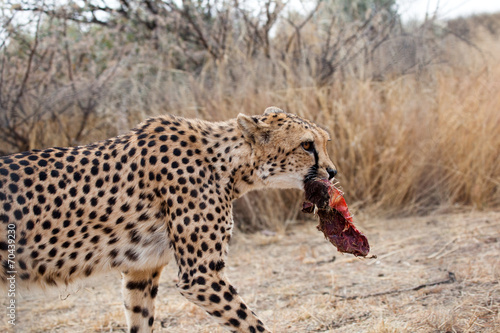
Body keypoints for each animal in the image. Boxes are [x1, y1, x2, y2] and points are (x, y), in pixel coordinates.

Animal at [0, 107, 338, 330]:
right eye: (306, 145)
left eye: (325, 141)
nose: (333, 172)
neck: (227, 163)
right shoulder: (199, 275)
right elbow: (252, 323)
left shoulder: (141, 270)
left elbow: (140, 319)